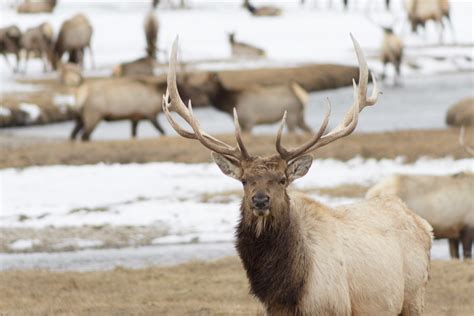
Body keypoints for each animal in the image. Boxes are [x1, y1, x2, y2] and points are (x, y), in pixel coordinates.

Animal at [163, 36, 434, 316]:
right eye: (244, 180)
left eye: (282, 180)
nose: (260, 200)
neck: (289, 290)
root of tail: (424, 225)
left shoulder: (334, 307)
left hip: (414, 295)